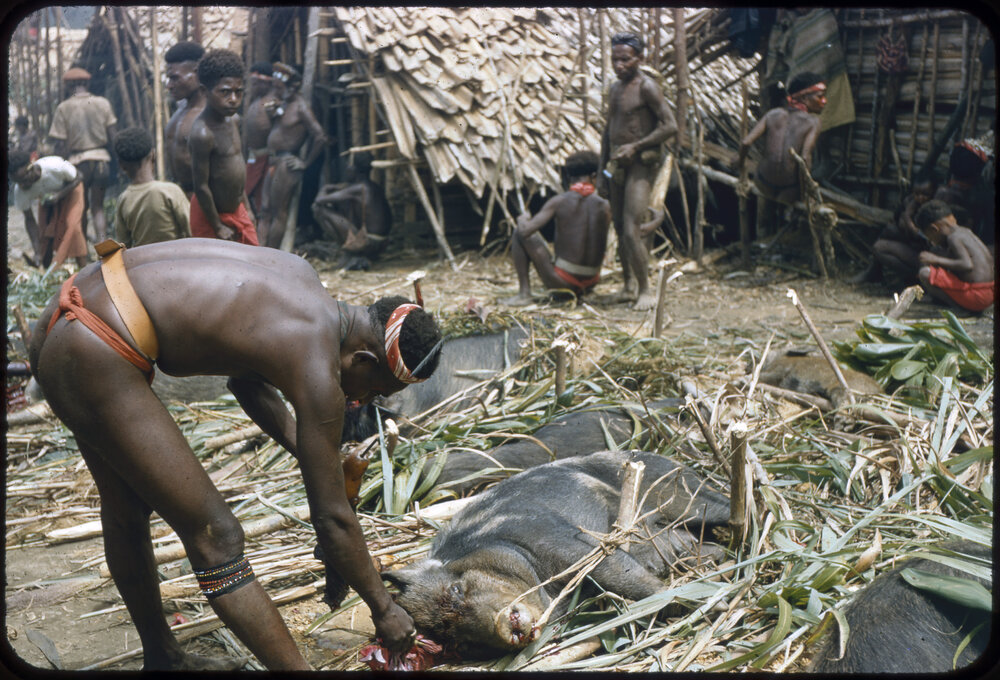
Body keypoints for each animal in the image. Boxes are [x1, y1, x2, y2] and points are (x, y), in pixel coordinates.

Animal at [384, 450, 729, 657]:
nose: (501, 627)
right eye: (457, 639)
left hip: (683, 494)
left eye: (457, 589)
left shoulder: (567, 542)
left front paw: (715, 605)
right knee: (703, 545)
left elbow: (621, 574)